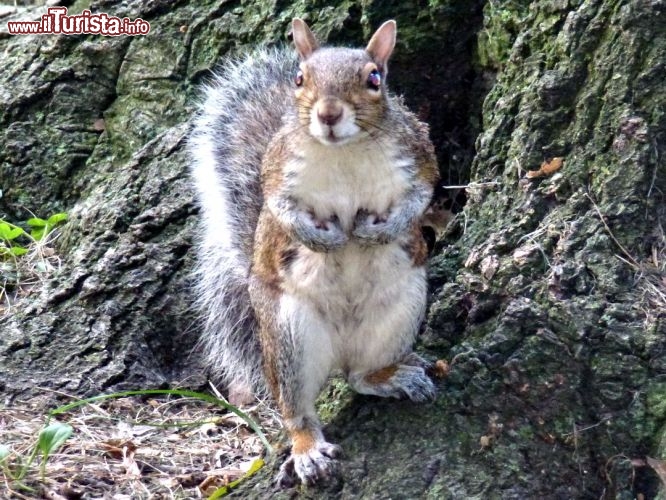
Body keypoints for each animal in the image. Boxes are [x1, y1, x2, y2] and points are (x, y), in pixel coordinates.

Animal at [187, 18, 438, 484]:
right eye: (300, 79)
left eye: (374, 79)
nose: (329, 114)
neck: (344, 152)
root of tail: (341, 347)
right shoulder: (277, 172)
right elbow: (282, 211)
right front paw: (325, 240)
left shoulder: (418, 155)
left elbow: (421, 196)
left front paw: (381, 230)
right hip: (289, 336)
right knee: (296, 409)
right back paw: (307, 450)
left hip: (401, 310)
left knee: (358, 376)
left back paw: (389, 378)